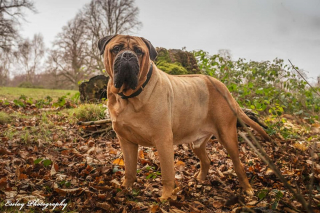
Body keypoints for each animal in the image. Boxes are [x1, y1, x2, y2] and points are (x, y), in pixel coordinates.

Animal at [98, 34, 270, 200]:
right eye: (116, 48)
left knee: (238, 164)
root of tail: (225, 89)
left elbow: (167, 173)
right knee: (206, 160)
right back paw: (199, 180)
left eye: (139, 51)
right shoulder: (126, 140)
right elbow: (129, 170)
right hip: (197, 143)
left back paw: (247, 189)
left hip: (227, 136)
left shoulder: (163, 140)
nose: (127, 55)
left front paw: (166, 198)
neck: (129, 97)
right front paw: (125, 189)